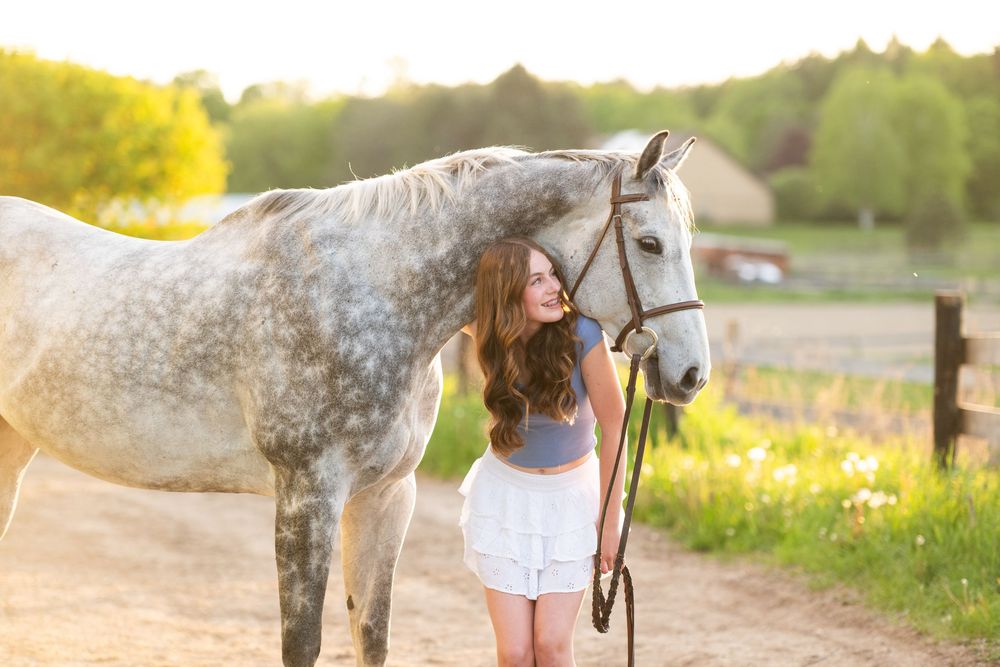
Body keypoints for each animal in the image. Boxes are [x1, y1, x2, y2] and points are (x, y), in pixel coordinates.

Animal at [0, 130, 710, 666]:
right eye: (649, 243)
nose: (691, 374)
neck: (371, 293)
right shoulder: (307, 494)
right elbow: (302, 642)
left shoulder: (386, 494)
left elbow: (371, 633)